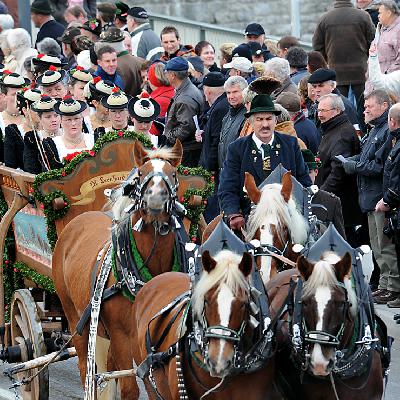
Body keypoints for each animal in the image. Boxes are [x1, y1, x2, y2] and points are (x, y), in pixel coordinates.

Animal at [52, 139, 186, 398]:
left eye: (173, 174)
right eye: (141, 174)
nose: (156, 197)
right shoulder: (122, 335)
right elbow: (129, 388)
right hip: (75, 318)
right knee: (86, 369)